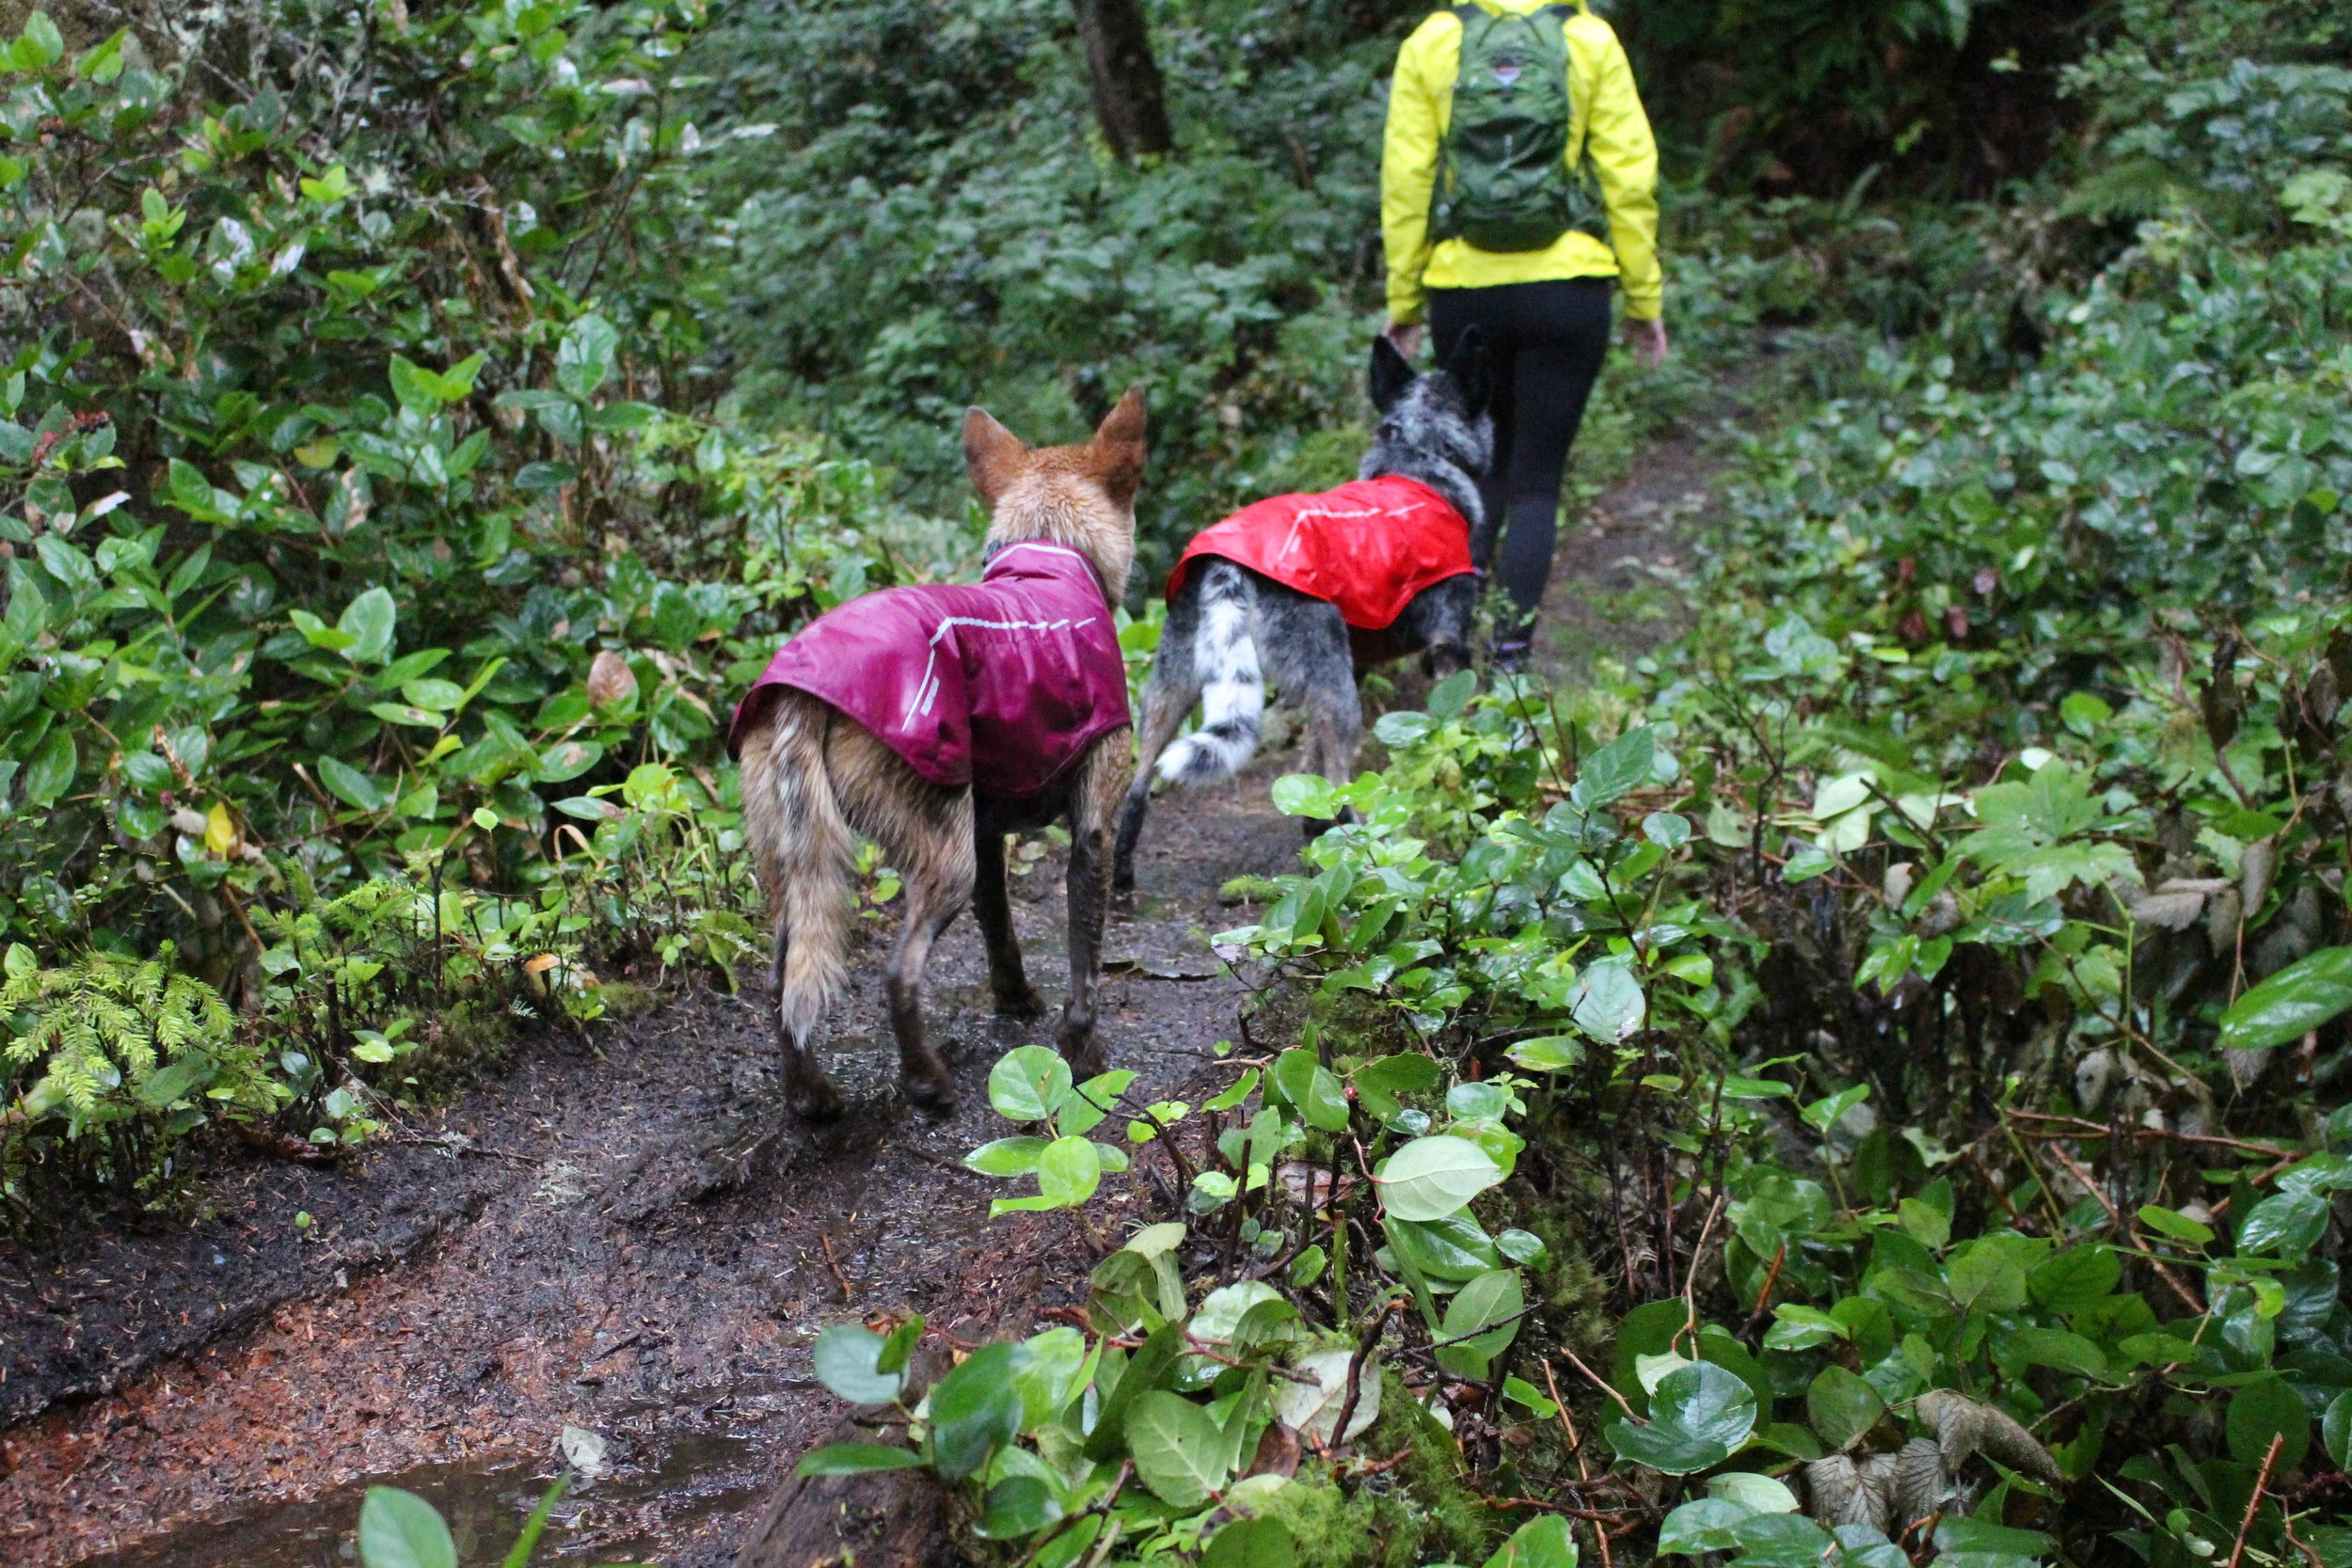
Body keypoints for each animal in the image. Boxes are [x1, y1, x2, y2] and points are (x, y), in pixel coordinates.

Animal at [729, 394, 1143, 1128]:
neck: (1051, 557)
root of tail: (801, 690)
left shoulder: (985, 831)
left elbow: (1001, 929)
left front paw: (1015, 999)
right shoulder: (1092, 825)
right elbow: (1085, 966)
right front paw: (1085, 1058)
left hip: (796, 860)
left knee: (783, 983)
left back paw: (811, 1096)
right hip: (941, 860)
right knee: (899, 971)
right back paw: (926, 1082)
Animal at [1115, 328, 1486, 893]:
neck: (1418, 455)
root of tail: (1230, 568)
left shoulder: (1349, 666)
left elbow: (1309, 773)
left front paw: (1313, 830)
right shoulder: (1446, 650)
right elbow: (1449, 738)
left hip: (1170, 686)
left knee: (1137, 789)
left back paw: (1120, 878)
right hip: (1339, 697)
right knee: (1344, 784)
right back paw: (1364, 861)